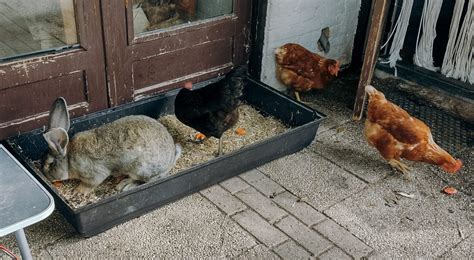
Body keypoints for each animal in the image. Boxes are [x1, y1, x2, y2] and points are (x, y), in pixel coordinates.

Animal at [41, 97, 181, 193]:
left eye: (50, 164)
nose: (45, 176)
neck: (69, 159)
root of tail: (170, 161)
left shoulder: (94, 174)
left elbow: (90, 184)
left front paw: (78, 191)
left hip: (140, 169)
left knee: (147, 180)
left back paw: (124, 185)